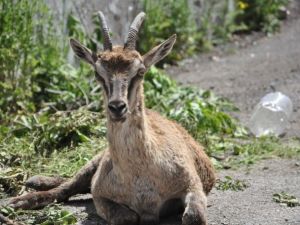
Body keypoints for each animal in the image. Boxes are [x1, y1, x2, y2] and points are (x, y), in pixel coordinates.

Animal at [9, 11, 216, 224]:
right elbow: (126, 217)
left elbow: (194, 216)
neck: (140, 173)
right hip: (95, 161)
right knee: (66, 188)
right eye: (97, 73)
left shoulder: (192, 185)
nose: (117, 107)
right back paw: (21, 196)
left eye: (140, 71)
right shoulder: (100, 193)